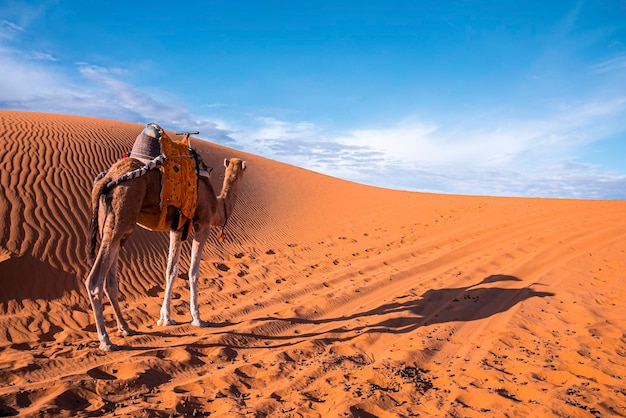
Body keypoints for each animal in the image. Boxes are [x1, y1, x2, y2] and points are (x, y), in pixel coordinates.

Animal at [86, 155, 246, 352]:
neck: (217, 206)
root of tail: (108, 177)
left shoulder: (176, 229)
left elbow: (171, 271)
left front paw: (165, 318)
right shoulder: (203, 224)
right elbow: (193, 272)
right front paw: (197, 318)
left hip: (112, 225)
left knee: (110, 281)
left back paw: (125, 328)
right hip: (122, 212)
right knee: (95, 281)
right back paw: (106, 340)